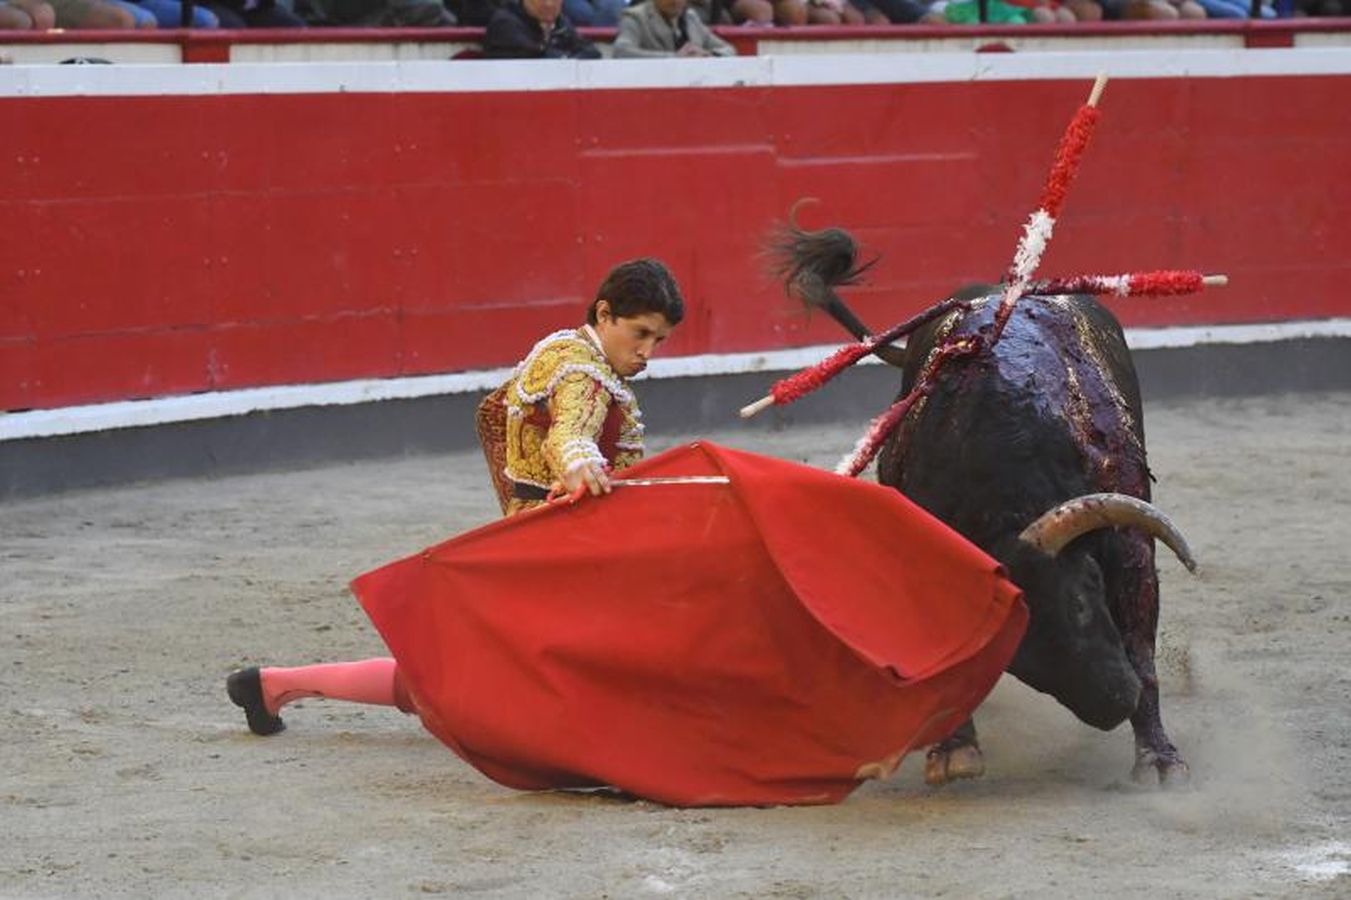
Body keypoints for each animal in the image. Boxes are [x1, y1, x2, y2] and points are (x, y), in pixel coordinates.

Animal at [778, 224, 1199, 783]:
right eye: (1014, 655)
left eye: (1082, 599)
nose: (1115, 703)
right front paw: (955, 750)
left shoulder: (1130, 543)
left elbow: (1140, 642)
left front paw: (1159, 758)